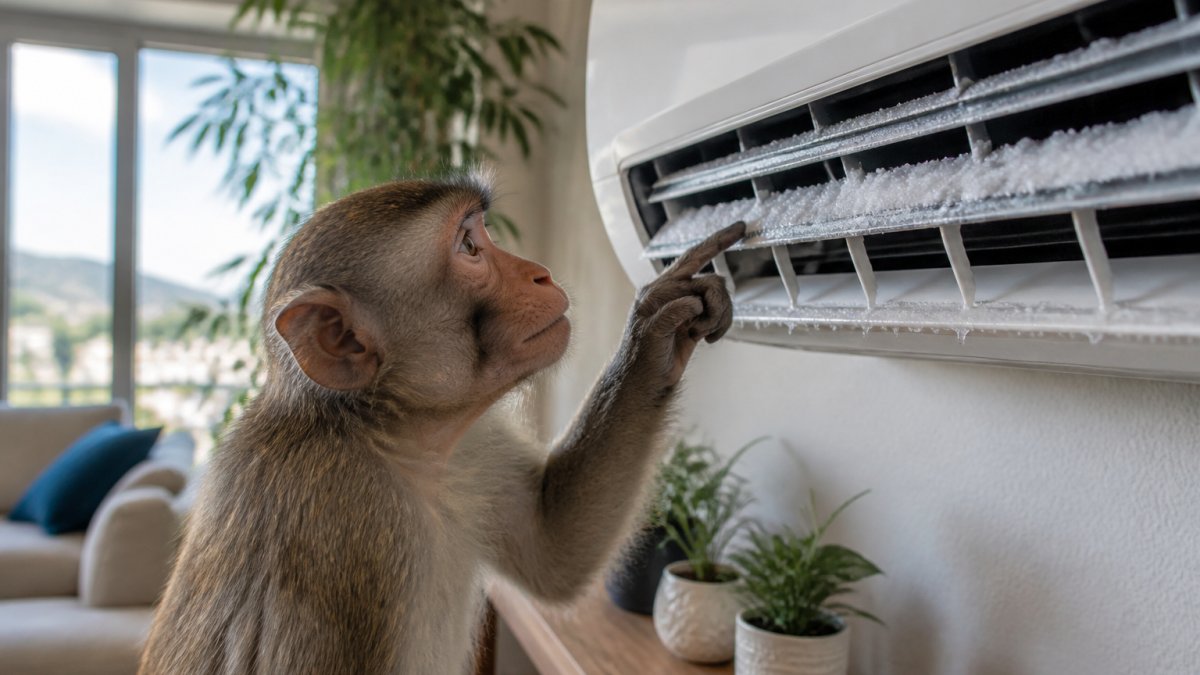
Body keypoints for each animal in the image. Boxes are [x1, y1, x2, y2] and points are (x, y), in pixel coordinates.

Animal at [139, 173, 746, 675]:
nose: (541, 273)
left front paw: (654, 334)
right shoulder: (340, 526)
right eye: (470, 247)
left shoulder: (472, 441)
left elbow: (552, 550)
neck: (388, 437)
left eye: (482, 233)